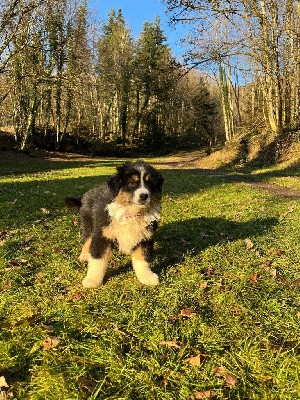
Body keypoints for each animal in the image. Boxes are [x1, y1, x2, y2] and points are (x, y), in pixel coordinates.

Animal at [66, 159, 163, 288]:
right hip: (89, 223)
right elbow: (98, 260)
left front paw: (147, 277)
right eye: (132, 183)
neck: (131, 213)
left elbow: (143, 259)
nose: (144, 195)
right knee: (87, 239)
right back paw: (85, 254)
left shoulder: (145, 237)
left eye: (150, 183)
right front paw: (92, 280)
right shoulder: (102, 235)